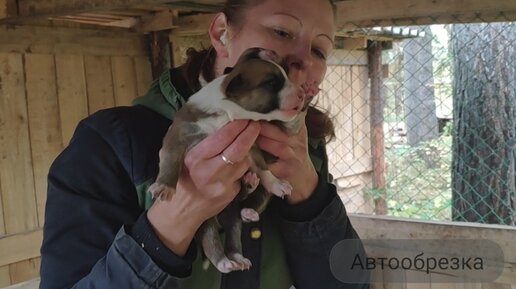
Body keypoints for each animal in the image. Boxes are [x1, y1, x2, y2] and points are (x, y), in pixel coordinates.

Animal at [151, 47, 308, 272]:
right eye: (271, 83)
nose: (303, 94)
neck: (227, 112)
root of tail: (219, 219)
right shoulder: (178, 136)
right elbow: (170, 162)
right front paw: (165, 187)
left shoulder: (250, 145)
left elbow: (262, 167)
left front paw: (277, 184)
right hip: (203, 222)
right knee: (210, 241)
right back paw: (223, 262)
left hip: (232, 217)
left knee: (234, 235)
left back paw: (237, 255)